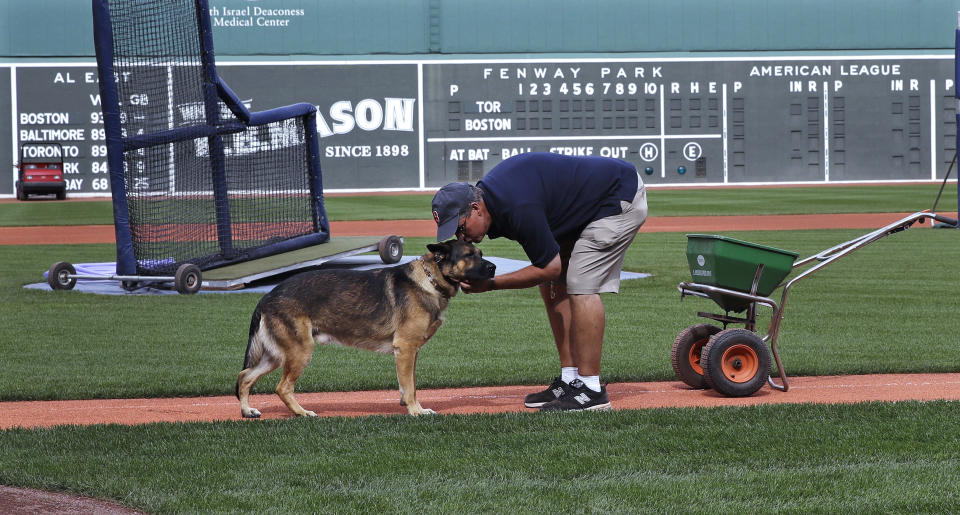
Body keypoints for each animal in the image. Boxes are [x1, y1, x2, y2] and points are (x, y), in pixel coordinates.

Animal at [238, 242, 496, 420]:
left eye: (481, 253)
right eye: (469, 255)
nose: (493, 268)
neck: (430, 278)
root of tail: (268, 296)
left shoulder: (411, 353)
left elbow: (409, 386)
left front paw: (414, 407)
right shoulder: (405, 349)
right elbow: (410, 388)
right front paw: (415, 411)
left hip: (276, 355)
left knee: (245, 376)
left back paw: (247, 411)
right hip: (299, 352)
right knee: (282, 388)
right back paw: (302, 413)